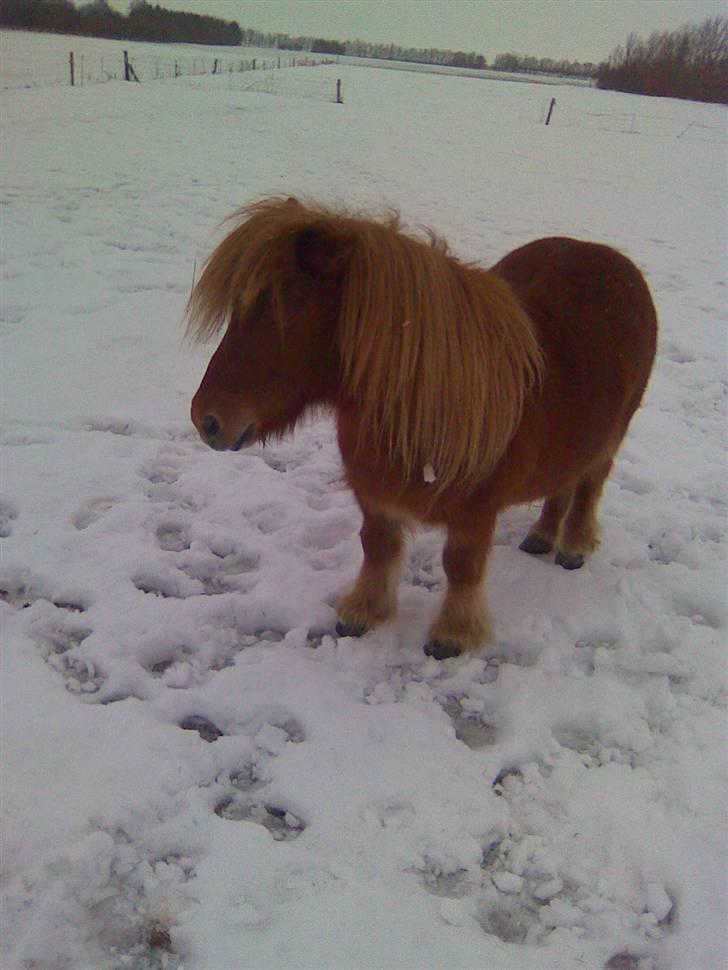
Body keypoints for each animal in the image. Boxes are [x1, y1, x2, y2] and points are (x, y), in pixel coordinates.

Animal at [185, 197, 656, 656]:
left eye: (289, 305)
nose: (207, 419)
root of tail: (612, 259)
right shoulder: (375, 497)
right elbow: (378, 547)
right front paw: (363, 613)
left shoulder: (475, 513)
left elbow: (461, 566)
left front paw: (453, 635)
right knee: (562, 482)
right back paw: (541, 536)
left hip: (611, 437)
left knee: (590, 483)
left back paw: (573, 545)